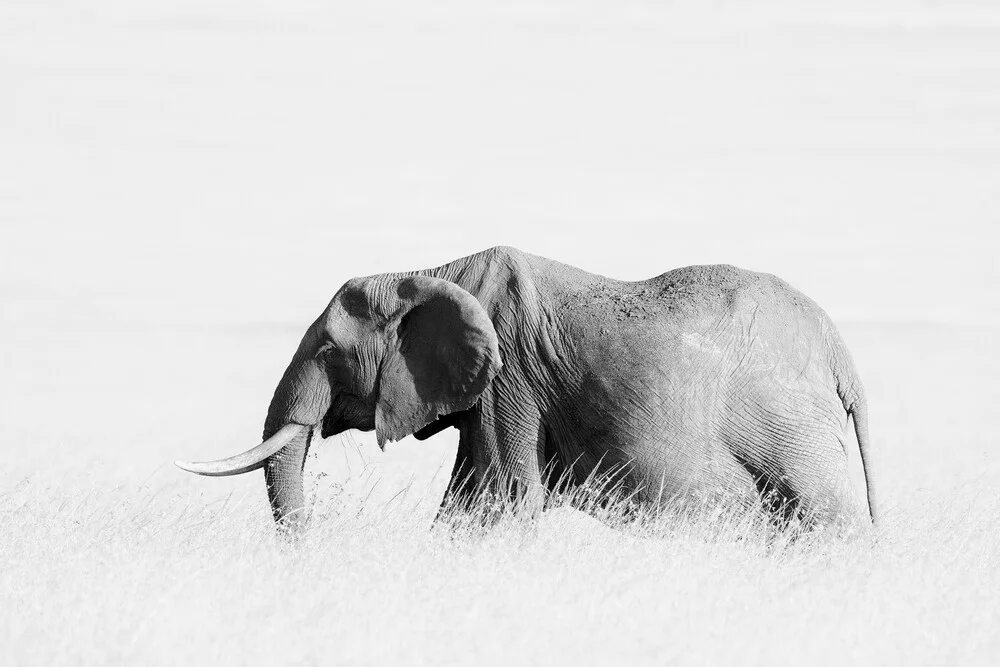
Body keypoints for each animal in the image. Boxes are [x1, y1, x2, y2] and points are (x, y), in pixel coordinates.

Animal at [180, 247, 876, 532]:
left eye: (328, 351)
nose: (313, 548)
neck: (428, 272)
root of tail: (842, 356)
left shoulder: (509, 382)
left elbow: (499, 503)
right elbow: (466, 503)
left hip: (791, 428)